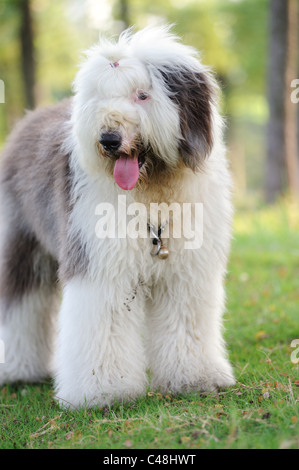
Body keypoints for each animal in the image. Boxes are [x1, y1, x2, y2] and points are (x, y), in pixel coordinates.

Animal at [0, 25, 237, 408]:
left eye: (142, 95)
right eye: (100, 98)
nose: (109, 138)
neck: (152, 193)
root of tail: (29, 117)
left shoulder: (187, 272)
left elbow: (186, 321)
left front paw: (195, 378)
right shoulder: (100, 265)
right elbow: (102, 324)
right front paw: (102, 391)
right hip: (21, 242)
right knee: (20, 302)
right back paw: (18, 370)